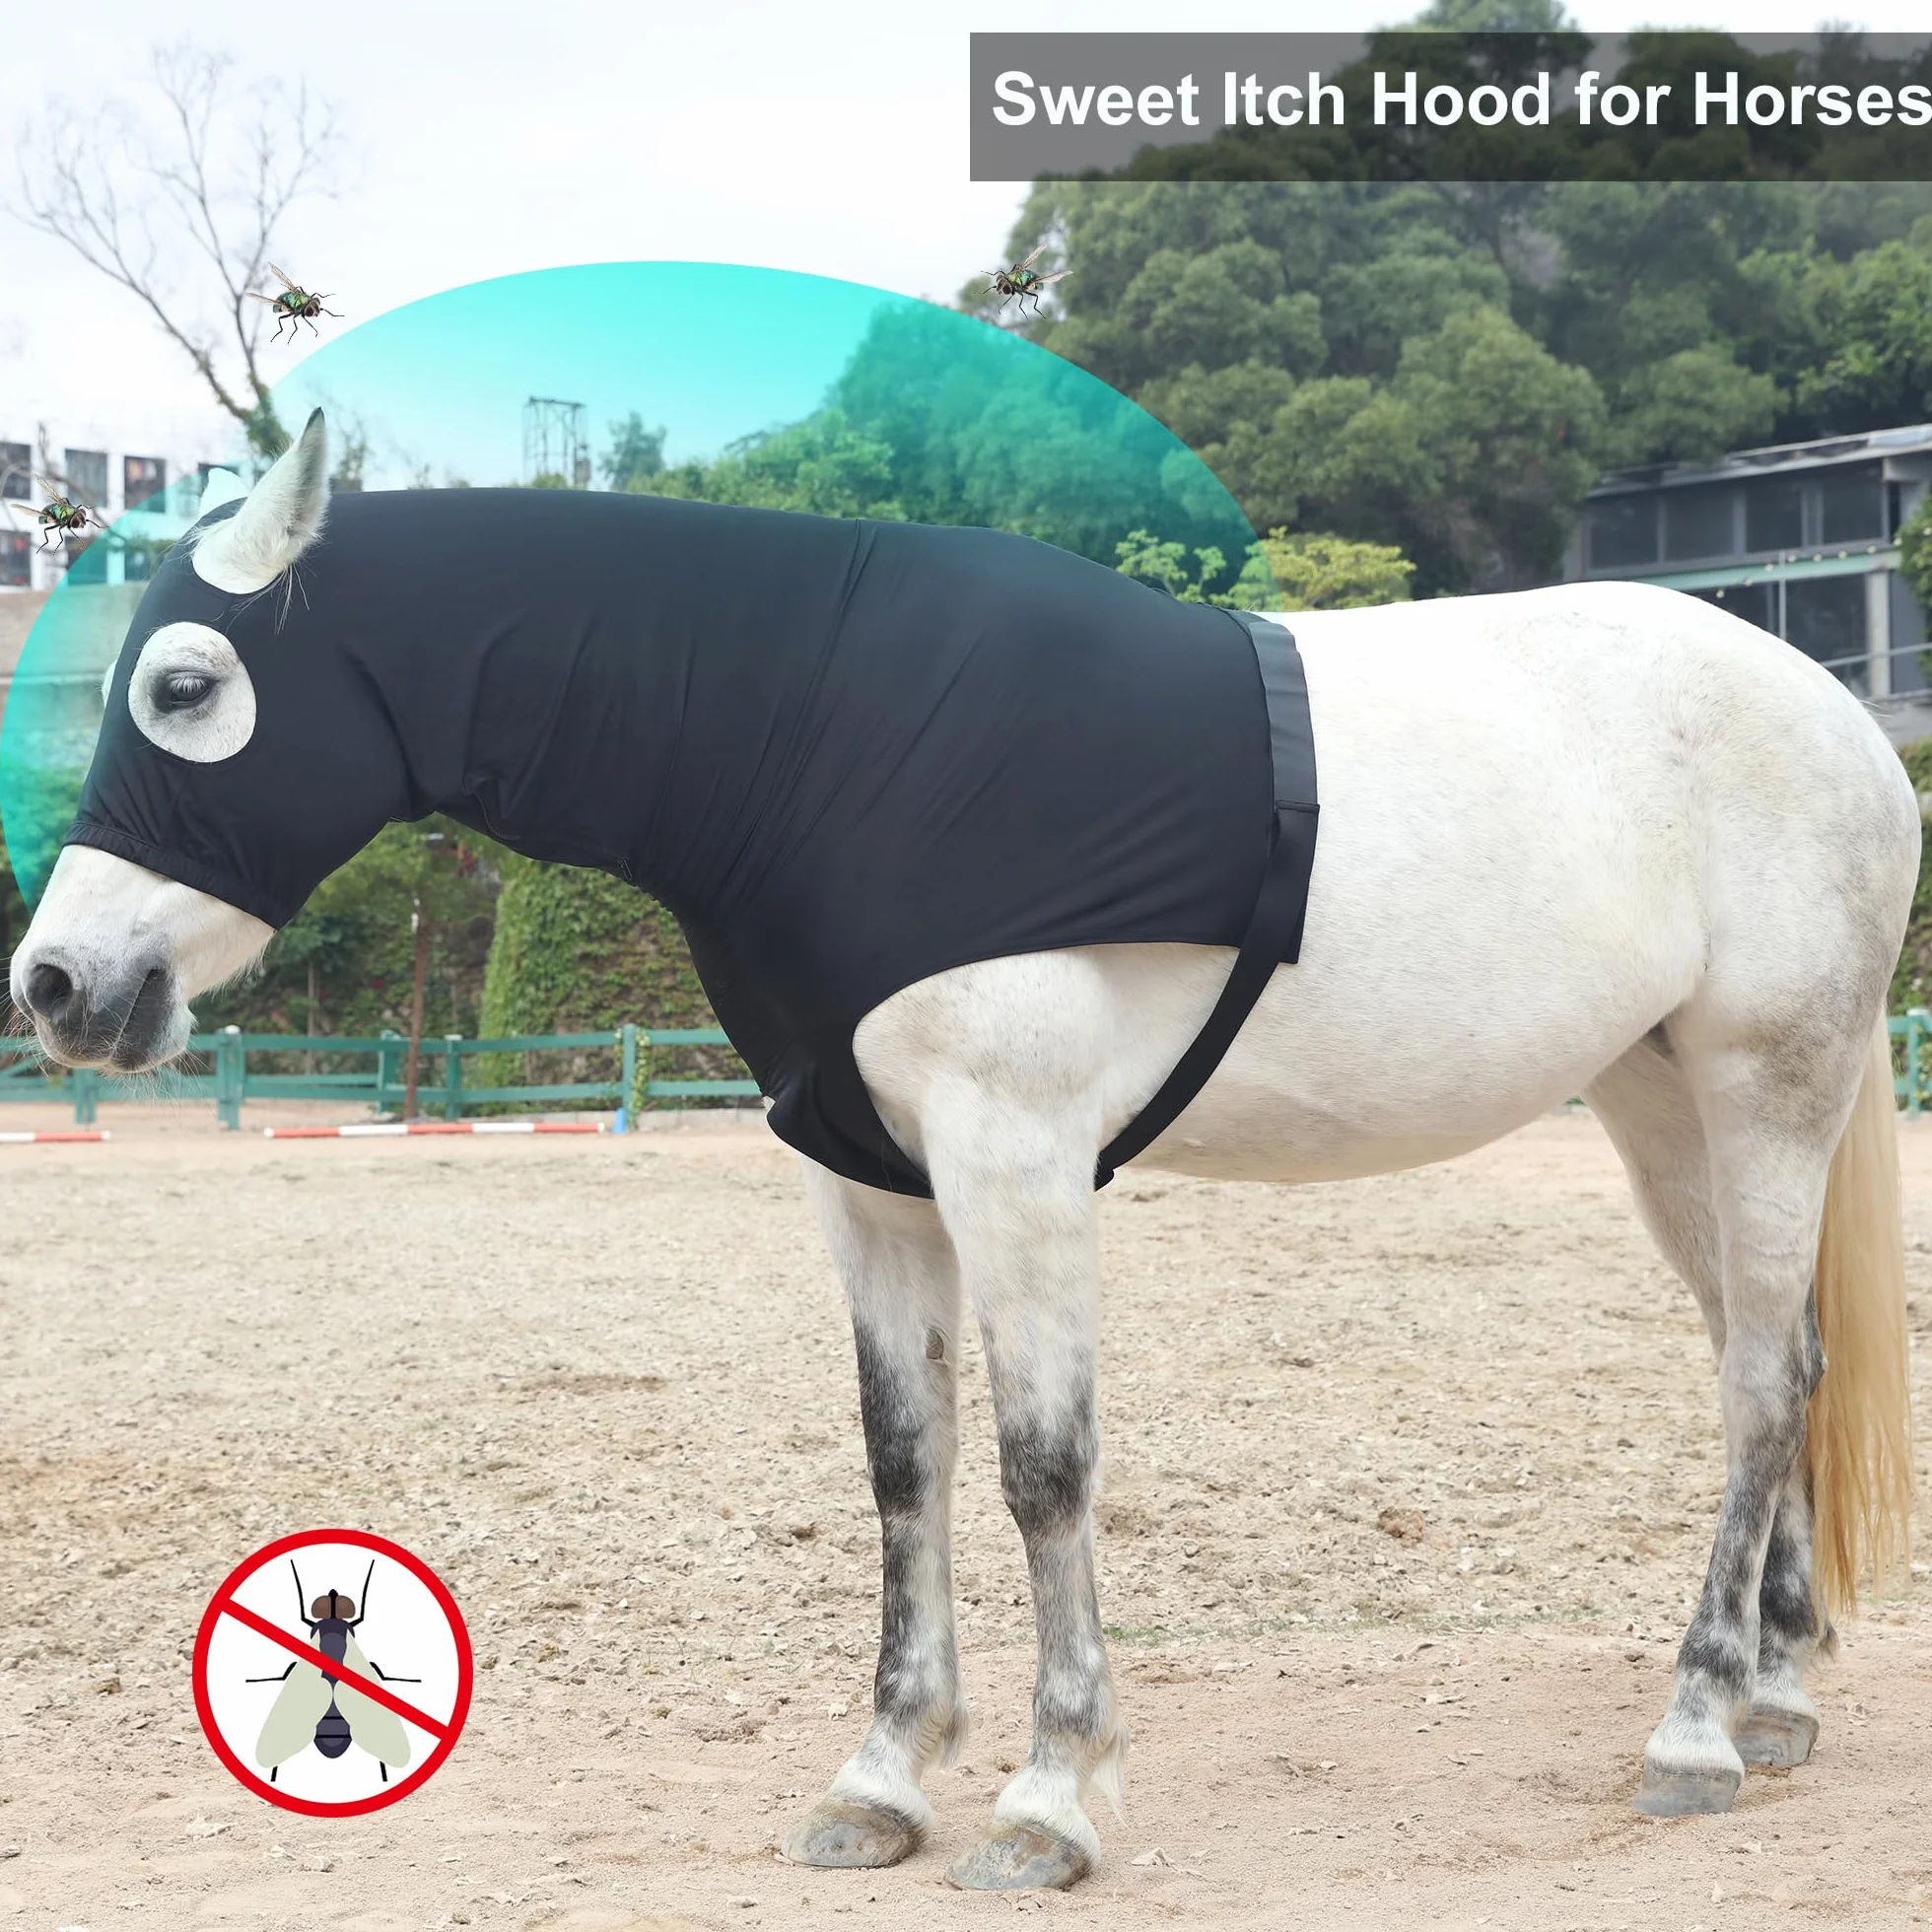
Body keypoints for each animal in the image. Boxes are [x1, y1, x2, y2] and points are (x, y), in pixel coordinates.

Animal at [10, 414, 1916, 1891]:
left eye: (184, 686)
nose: (58, 984)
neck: (822, 735)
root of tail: (1837, 716)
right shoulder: (869, 1184)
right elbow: (906, 1465)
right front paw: (881, 1776)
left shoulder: (1019, 1164)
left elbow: (1042, 1468)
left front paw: (1052, 1798)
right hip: (1660, 1111)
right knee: (1776, 1358)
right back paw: (1777, 1694)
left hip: (1769, 1090)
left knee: (1759, 1384)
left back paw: (1695, 1727)